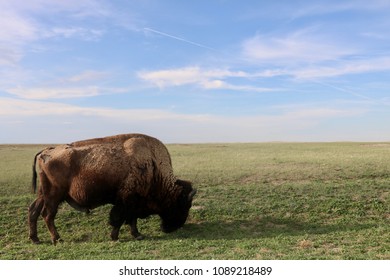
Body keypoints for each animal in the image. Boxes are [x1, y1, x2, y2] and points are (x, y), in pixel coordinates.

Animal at [28, 132, 197, 244]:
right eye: (183, 205)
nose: (174, 227)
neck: (152, 165)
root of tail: (46, 151)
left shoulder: (133, 202)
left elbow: (131, 219)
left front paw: (137, 234)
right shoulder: (127, 200)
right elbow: (119, 218)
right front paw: (115, 237)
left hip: (43, 195)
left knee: (33, 211)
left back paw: (35, 239)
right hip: (53, 196)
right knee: (47, 215)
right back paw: (57, 238)